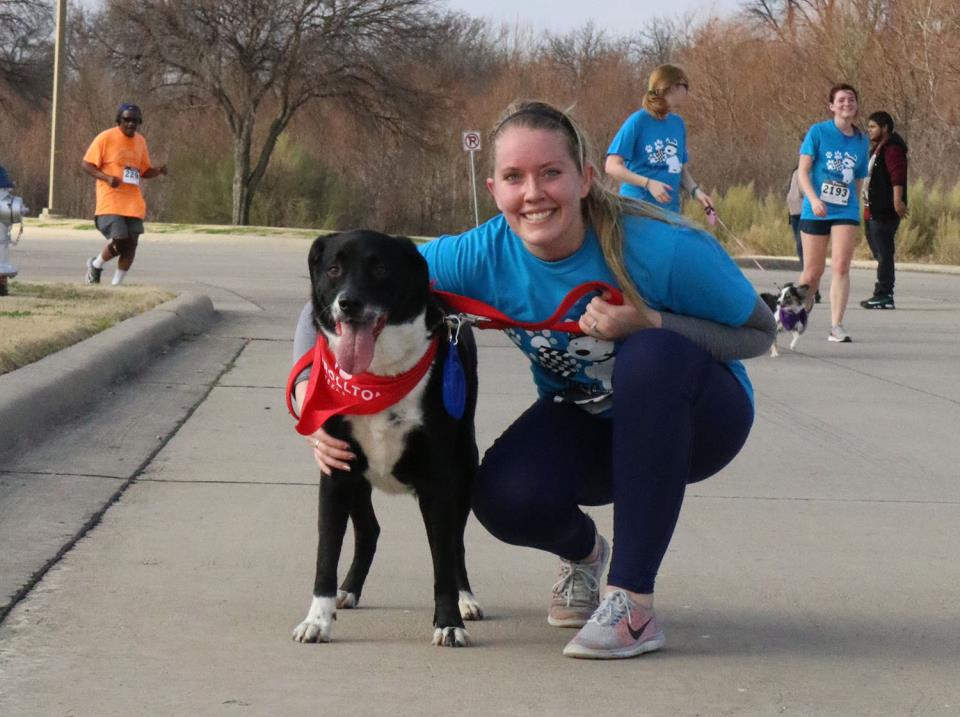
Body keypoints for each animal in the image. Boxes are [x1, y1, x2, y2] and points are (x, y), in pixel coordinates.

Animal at [288, 231, 484, 648]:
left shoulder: (440, 480)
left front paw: (448, 622)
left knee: (455, 544)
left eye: (379, 268)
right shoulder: (336, 469)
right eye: (334, 269)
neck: (378, 375)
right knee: (369, 530)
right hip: (357, 480)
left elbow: (443, 557)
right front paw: (317, 620)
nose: (348, 303)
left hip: (465, 469)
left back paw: (465, 599)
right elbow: (326, 553)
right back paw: (348, 590)